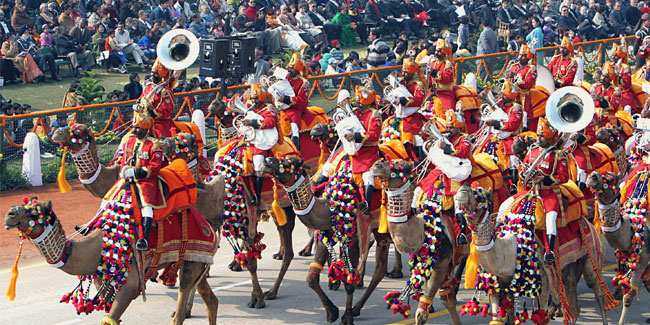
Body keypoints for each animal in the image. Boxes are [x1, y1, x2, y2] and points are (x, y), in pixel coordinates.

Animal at [3, 199, 218, 322]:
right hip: (194, 262)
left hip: (192, 260)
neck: (97, 248)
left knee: (181, 310)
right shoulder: (104, 283)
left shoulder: (131, 285)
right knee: (211, 300)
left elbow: (110, 318)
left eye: (34, 212)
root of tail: (209, 228)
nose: (9, 214)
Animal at [260, 156, 390, 322]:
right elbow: (311, 277)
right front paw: (332, 312)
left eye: (290, 162)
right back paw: (357, 308)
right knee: (380, 269)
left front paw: (347, 316)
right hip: (381, 231)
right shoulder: (325, 233)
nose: (267, 161)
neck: (330, 208)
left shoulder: (353, 238)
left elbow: (349, 280)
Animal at [368, 159, 464, 324]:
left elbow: (421, 312)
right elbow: (446, 299)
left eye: (400, 166)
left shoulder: (441, 264)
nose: (376, 165)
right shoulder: (439, 263)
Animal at [454, 182, 612, 324]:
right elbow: (499, 319)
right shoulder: (497, 287)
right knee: (573, 300)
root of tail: (588, 222)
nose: (462, 190)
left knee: (597, 291)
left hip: (591, 254)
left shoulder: (543, 284)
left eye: (481, 196)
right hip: (570, 267)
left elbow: (541, 317)